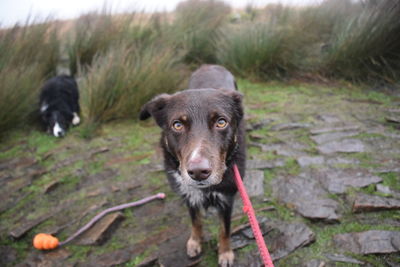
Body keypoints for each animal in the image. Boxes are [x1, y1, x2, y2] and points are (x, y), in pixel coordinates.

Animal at [139, 64, 245, 266]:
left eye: (221, 122)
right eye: (177, 125)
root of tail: (210, 65)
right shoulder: (189, 195)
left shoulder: (227, 198)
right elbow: (196, 221)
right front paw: (195, 241)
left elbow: (224, 229)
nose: (198, 172)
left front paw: (225, 252)